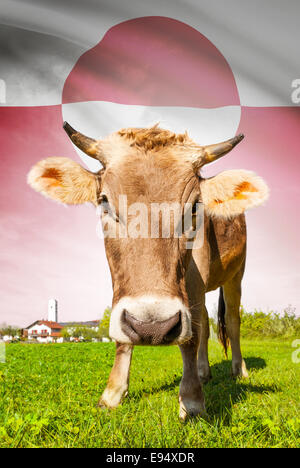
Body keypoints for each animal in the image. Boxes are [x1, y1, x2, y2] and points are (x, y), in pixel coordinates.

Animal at [27, 122, 268, 418]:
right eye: (104, 202)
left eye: (195, 207)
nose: (152, 327)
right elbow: (125, 334)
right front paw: (112, 393)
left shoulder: (196, 275)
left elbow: (191, 335)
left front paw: (192, 400)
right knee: (206, 322)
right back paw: (203, 371)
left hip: (236, 274)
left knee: (232, 321)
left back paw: (239, 370)